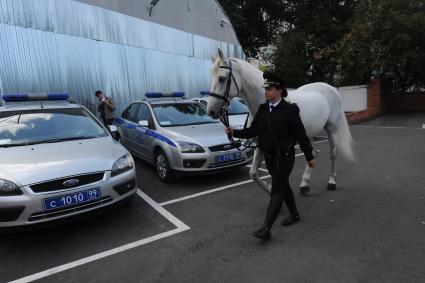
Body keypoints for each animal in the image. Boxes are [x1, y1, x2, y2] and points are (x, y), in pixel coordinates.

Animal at [207, 48, 352, 195]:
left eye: (222, 78)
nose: (211, 111)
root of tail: (332, 89)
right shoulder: (260, 142)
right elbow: (253, 173)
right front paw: (270, 188)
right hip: (307, 133)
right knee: (312, 154)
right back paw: (304, 183)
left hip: (331, 129)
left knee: (332, 154)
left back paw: (331, 182)